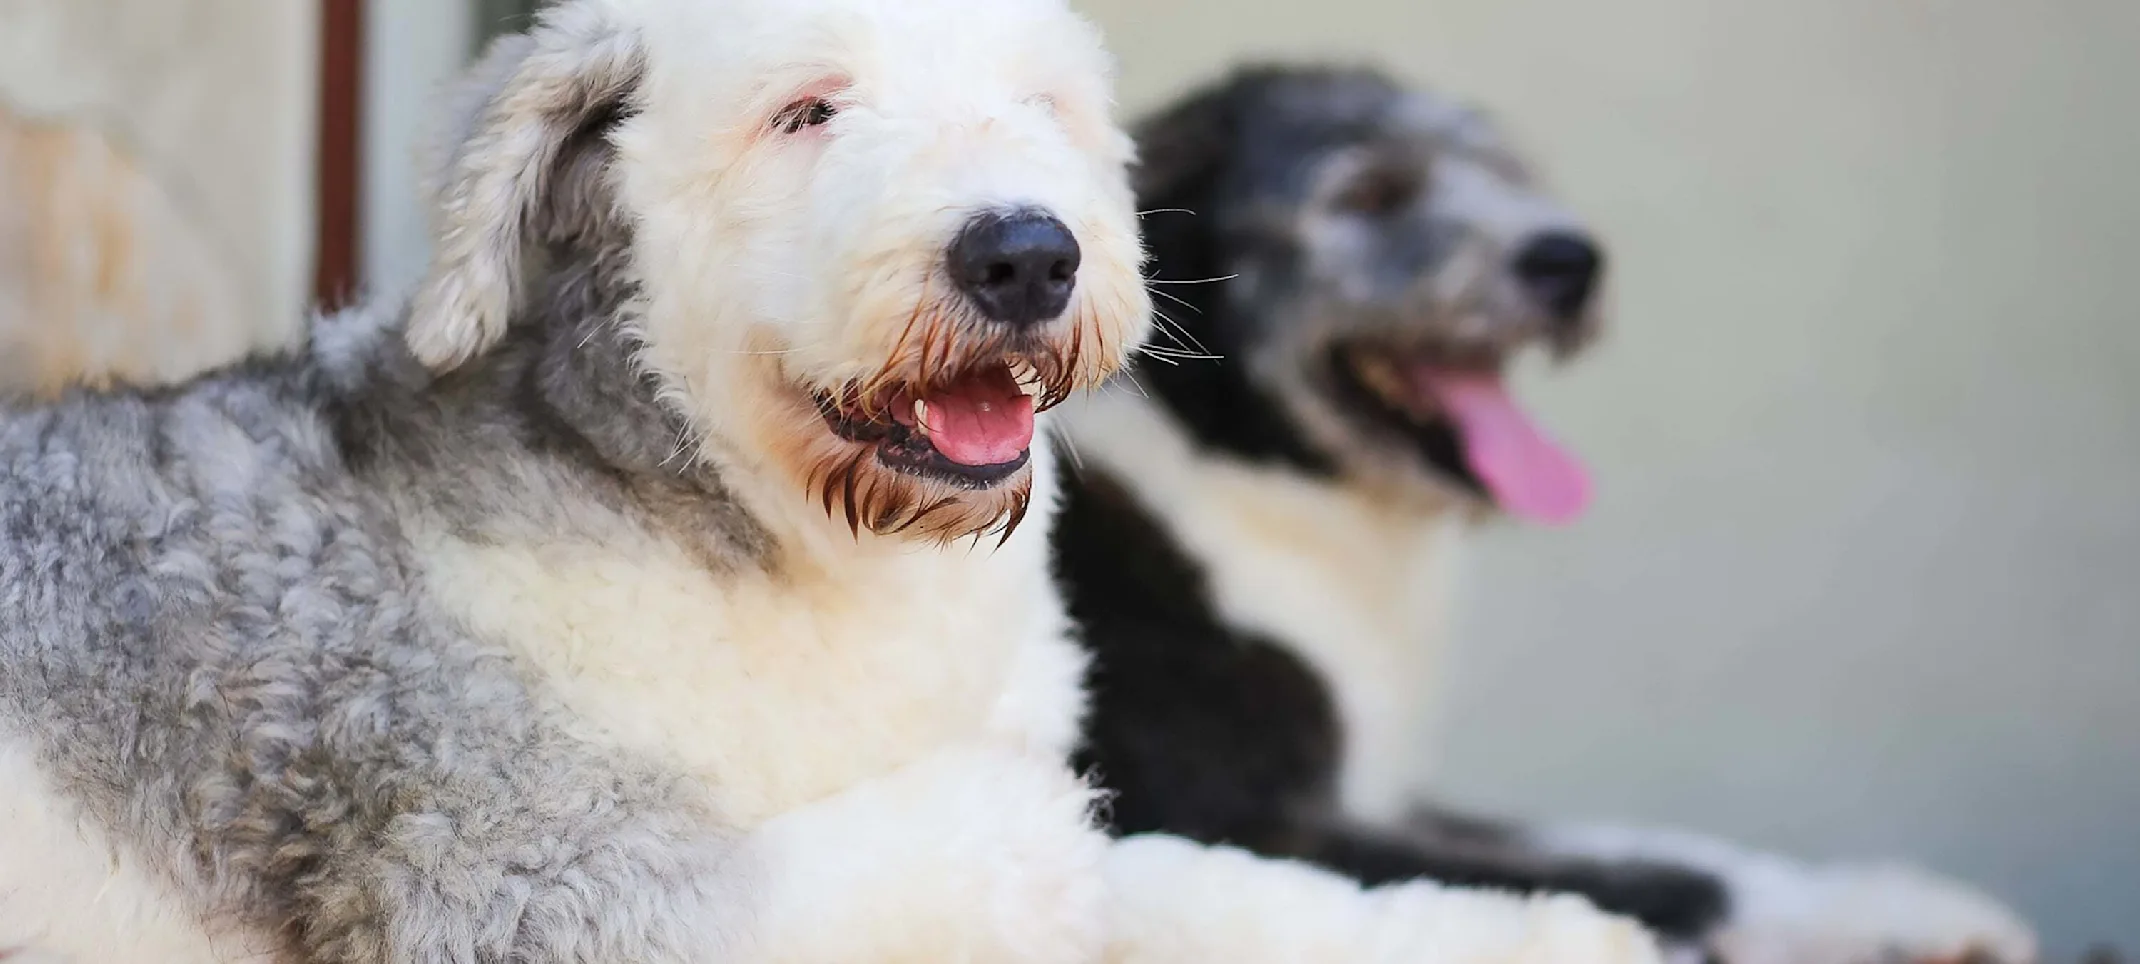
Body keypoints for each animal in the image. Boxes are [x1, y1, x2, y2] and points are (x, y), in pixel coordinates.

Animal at [0, 1, 1660, 964]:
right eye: (807, 111)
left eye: (1040, 108)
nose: (1027, 254)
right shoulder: (533, 875)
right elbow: (1042, 843)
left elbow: (1221, 888)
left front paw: (1546, 931)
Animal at [1052, 65, 2037, 964]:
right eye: (1367, 193)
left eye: (1505, 171)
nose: (1571, 260)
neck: (1240, 465)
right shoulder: (1233, 821)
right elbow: (1633, 877)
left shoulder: (1384, 798)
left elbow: (1610, 837)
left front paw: (1888, 902)